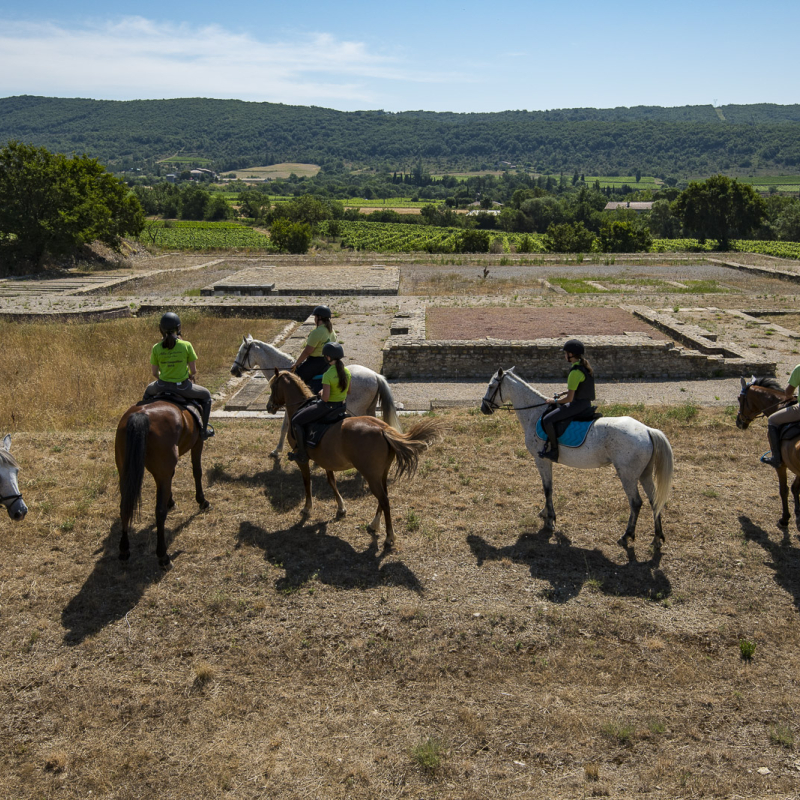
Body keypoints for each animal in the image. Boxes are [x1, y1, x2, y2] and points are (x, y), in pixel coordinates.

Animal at [115, 400, 211, 568]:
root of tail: (142, 415)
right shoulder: (198, 442)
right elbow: (197, 471)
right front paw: (202, 501)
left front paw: (171, 501)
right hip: (161, 470)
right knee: (159, 512)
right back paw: (163, 556)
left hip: (125, 472)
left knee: (124, 507)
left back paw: (124, 550)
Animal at [233, 332, 406, 456]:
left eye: (242, 352)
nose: (233, 370)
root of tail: (375, 375)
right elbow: (285, 426)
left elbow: (284, 426)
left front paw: (277, 450)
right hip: (368, 408)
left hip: (357, 409)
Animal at [268, 370, 444, 552]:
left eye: (272, 386)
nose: (269, 406)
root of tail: (383, 429)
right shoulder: (326, 461)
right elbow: (332, 482)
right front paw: (340, 508)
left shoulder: (302, 460)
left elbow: (307, 482)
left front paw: (307, 508)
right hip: (381, 474)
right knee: (384, 497)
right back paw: (374, 525)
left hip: (371, 476)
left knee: (384, 500)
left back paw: (389, 537)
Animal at [482, 368, 676, 552]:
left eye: (491, 386)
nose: (483, 408)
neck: (534, 414)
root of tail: (647, 430)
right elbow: (548, 487)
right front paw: (546, 513)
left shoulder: (542, 460)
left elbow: (547, 488)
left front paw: (550, 519)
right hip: (644, 474)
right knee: (654, 501)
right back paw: (657, 538)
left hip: (627, 475)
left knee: (636, 503)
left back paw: (626, 536)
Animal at [736, 376, 800, 528]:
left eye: (739, 399)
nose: (738, 422)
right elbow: (795, 488)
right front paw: (797, 515)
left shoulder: (781, 464)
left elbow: (784, 489)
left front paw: (785, 518)